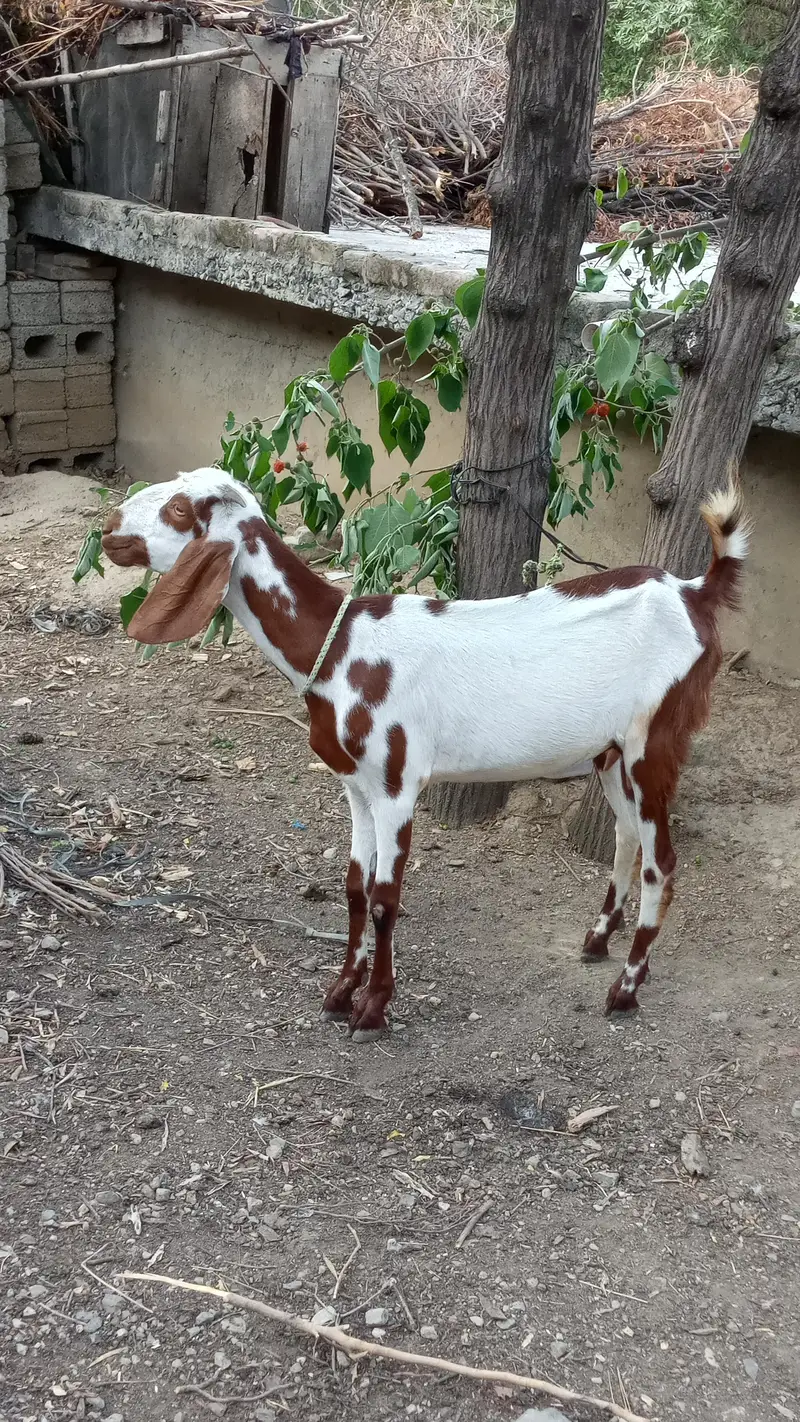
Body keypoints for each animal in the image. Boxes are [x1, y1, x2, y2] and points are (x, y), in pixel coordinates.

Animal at [102, 469, 749, 1040]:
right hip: (610, 751)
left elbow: (386, 901)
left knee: (661, 861)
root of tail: (695, 592)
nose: (109, 529)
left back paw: (626, 990)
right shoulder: (356, 785)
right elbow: (354, 888)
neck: (341, 647)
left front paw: (372, 1010)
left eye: (178, 509)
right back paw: (596, 943)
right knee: (626, 835)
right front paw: (341, 992)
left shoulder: (397, 783)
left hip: (653, 741)